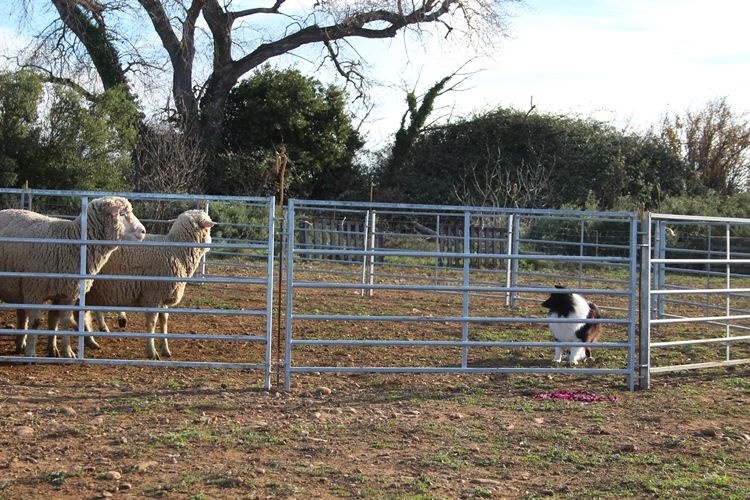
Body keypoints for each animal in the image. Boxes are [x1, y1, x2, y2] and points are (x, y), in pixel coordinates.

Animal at [0, 197, 148, 358]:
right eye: (121, 214)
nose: (143, 231)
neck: (72, 241)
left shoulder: (67, 293)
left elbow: (60, 321)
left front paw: (62, 350)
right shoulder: (34, 290)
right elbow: (36, 322)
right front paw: (32, 354)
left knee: (22, 314)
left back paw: (21, 344)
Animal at [83, 208, 216, 360]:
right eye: (208, 228)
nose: (211, 242)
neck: (177, 250)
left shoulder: (163, 296)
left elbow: (164, 321)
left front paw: (165, 349)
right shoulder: (153, 295)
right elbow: (152, 323)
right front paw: (152, 352)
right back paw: (90, 341)